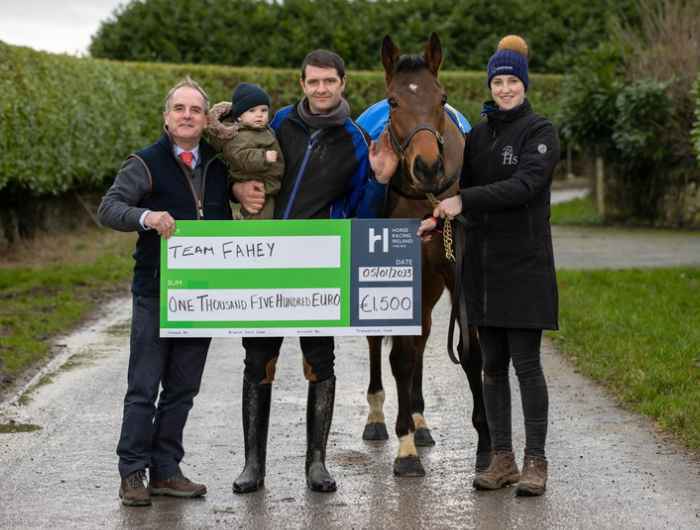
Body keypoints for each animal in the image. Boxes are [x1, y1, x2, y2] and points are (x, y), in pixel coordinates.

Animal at [364, 35, 490, 476]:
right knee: (381, 342)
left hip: (433, 284)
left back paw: (419, 421)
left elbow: (469, 351)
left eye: (442, 97)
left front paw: (486, 442)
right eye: (394, 101)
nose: (429, 167)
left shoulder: (457, 270)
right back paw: (378, 416)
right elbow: (399, 356)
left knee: (422, 336)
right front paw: (405, 450)